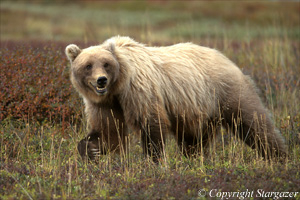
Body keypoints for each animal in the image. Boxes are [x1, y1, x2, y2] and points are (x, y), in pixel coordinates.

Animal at [65, 36, 286, 162]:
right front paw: (91, 150)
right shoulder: (105, 104)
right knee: (194, 139)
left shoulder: (139, 91)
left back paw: (279, 155)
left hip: (227, 92)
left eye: (106, 64)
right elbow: (108, 131)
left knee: (253, 122)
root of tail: (229, 60)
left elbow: (151, 125)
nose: (101, 81)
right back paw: (193, 159)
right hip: (195, 109)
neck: (118, 86)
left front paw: (155, 160)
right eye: (88, 65)